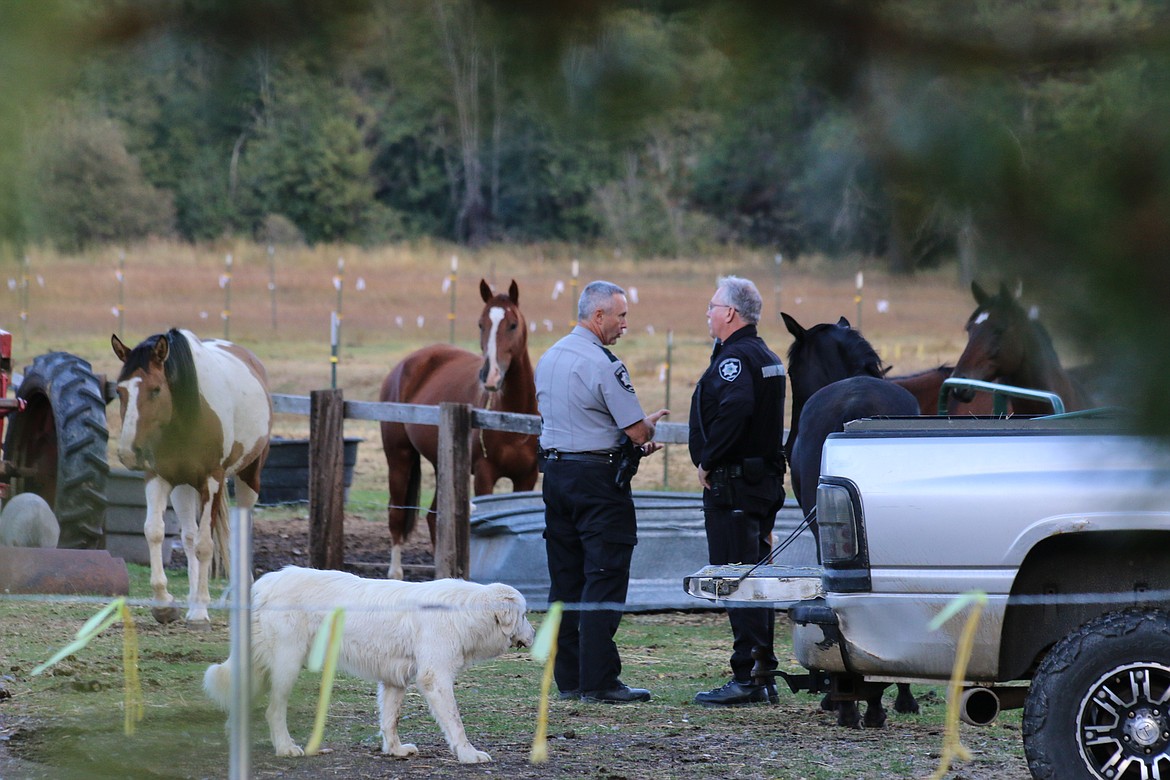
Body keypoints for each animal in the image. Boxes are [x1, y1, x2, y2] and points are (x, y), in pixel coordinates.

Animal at [112, 327, 271, 626]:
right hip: (182, 487)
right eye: (119, 390)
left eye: (156, 389)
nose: (128, 452)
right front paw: (164, 604)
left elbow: (205, 545)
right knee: (188, 536)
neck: (185, 417)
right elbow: (155, 532)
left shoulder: (212, 479)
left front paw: (199, 610)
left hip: (248, 477)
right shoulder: (158, 477)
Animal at [205, 563, 535, 767]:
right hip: (286, 665)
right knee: (274, 710)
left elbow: (390, 720)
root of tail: (264, 583)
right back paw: (286, 748)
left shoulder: (394, 680)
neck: (466, 613)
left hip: (260, 667)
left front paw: (395, 751)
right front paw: (468, 754)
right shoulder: (435, 678)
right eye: (524, 614)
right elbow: (455, 722)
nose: (533, 634)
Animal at [379, 280, 538, 580]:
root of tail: (406, 364)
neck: (511, 417)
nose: (490, 376)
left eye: (512, 324)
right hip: (399, 457)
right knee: (396, 513)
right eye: (481, 324)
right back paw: (396, 572)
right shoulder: (484, 476)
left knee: (433, 516)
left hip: (443, 463)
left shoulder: (527, 478)